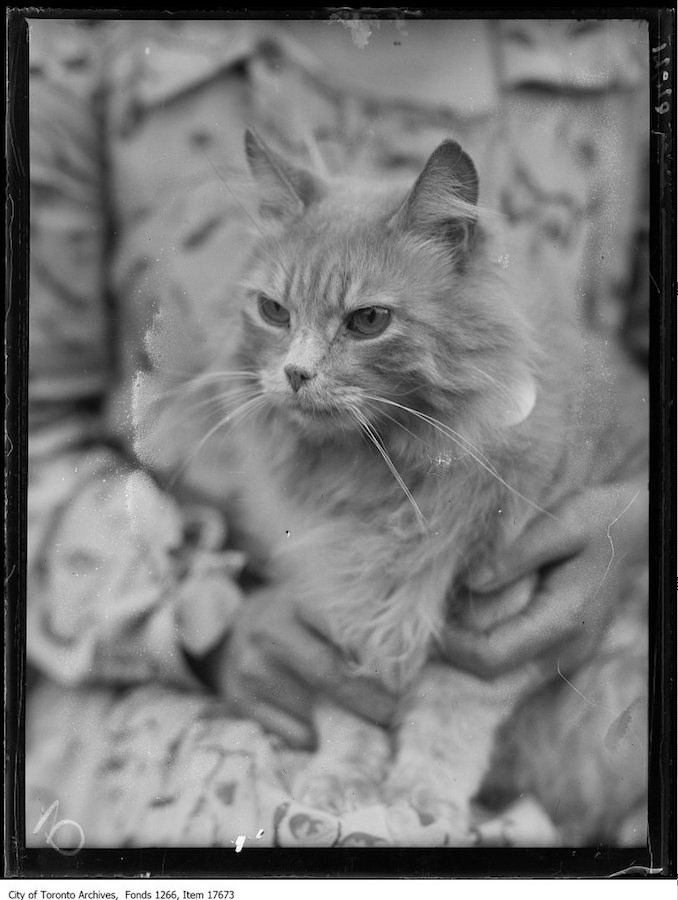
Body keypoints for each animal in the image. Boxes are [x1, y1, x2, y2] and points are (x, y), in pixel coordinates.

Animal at [162, 130, 652, 848]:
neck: (381, 477)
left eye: (368, 321)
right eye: (274, 311)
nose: (295, 373)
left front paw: (420, 804)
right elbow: (347, 710)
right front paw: (343, 787)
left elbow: (448, 722)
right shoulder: (336, 588)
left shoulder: (490, 611)